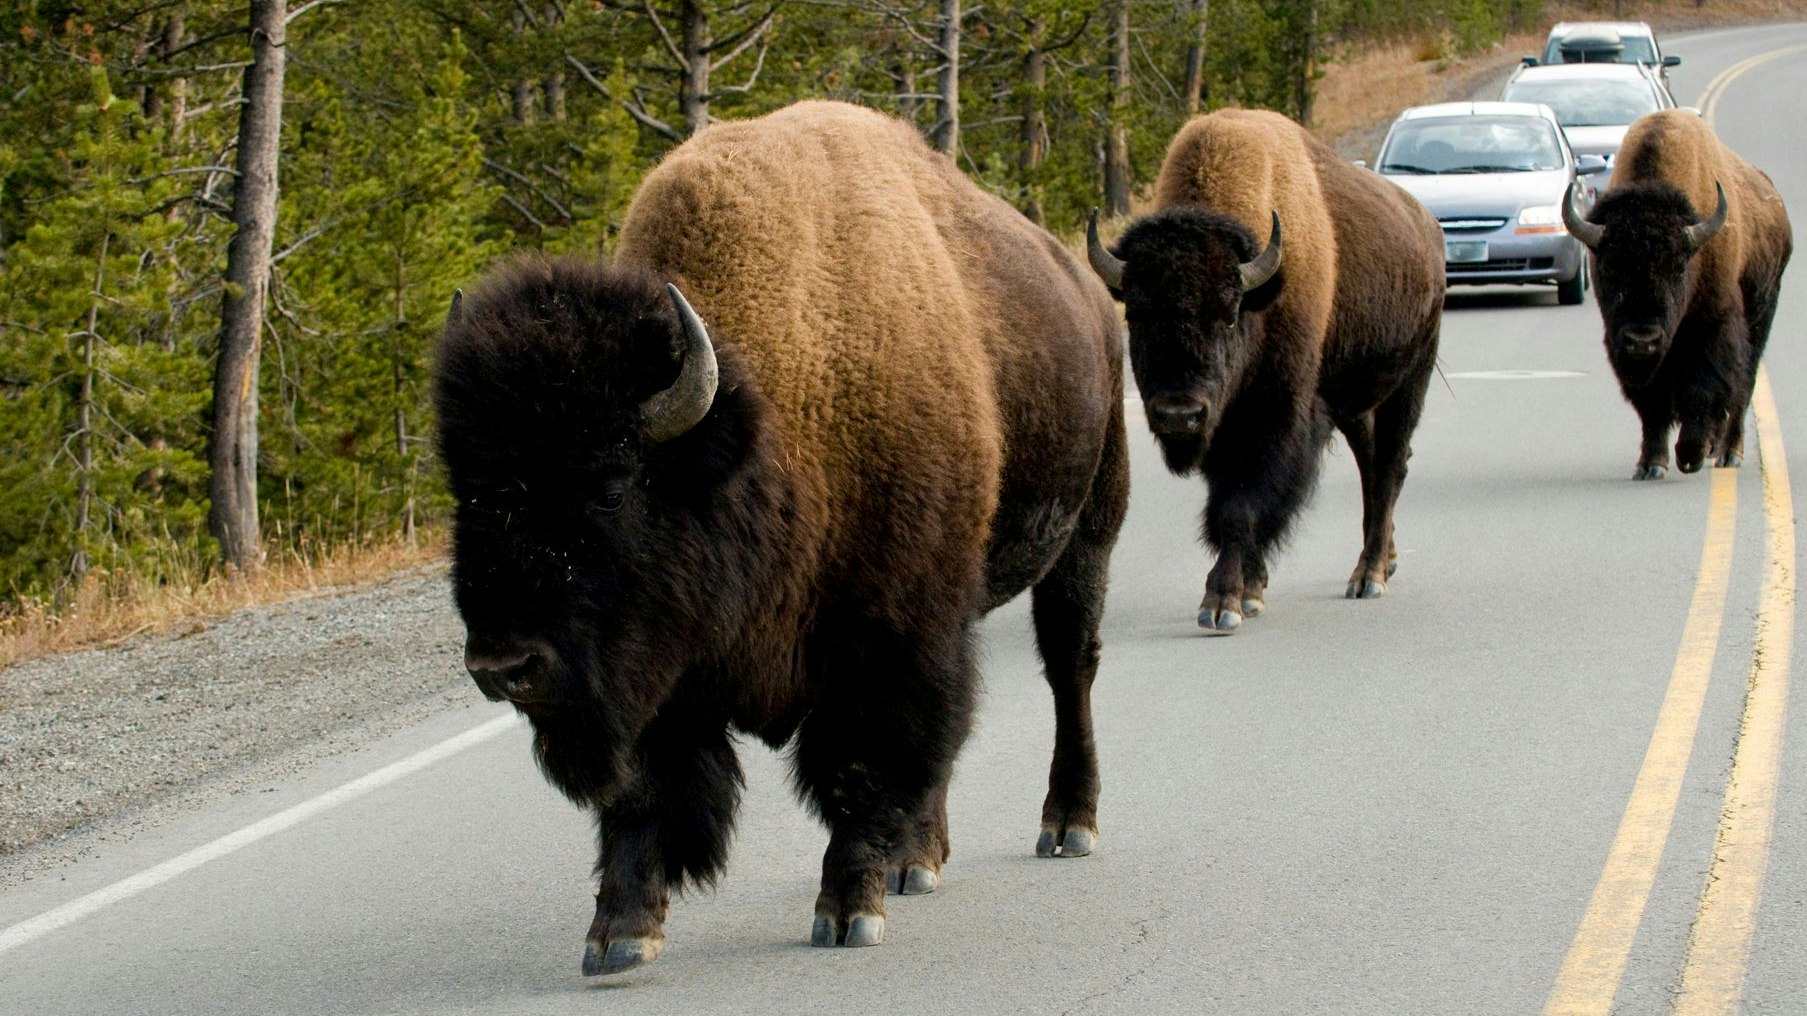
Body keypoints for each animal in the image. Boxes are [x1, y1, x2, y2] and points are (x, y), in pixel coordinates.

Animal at [433, 100, 1128, 976]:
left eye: (612, 484)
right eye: (467, 491)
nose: (503, 666)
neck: (766, 425)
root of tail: (1087, 291)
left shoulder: (883, 642)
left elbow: (858, 769)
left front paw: (847, 911)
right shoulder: (660, 669)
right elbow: (641, 790)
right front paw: (618, 933)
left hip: (1086, 532)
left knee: (1069, 670)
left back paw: (1067, 824)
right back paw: (917, 860)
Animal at [1087, 108, 1444, 631]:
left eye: (1229, 314)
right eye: (1135, 314)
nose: (1178, 415)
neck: (1264, 292)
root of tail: (1427, 225)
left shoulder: (1274, 417)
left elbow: (1241, 506)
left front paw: (1223, 603)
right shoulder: (1221, 424)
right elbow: (1230, 502)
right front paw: (1251, 588)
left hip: (1410, 380)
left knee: (1391, 466)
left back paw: (1370, 576)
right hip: (1356, 402)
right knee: (1371, 465)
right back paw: (1384, 561)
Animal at [1563, 109, 1792, 478]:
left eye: (1679, 268)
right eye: (1609, 267)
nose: (1642, 338)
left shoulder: (1712, 327)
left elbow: (1701, 390)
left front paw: (1690, 455)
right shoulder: (1623, 344)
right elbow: (1652, 405)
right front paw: (1651, 465)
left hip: (1761, 316)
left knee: (1743, 387)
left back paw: (1728, 453)